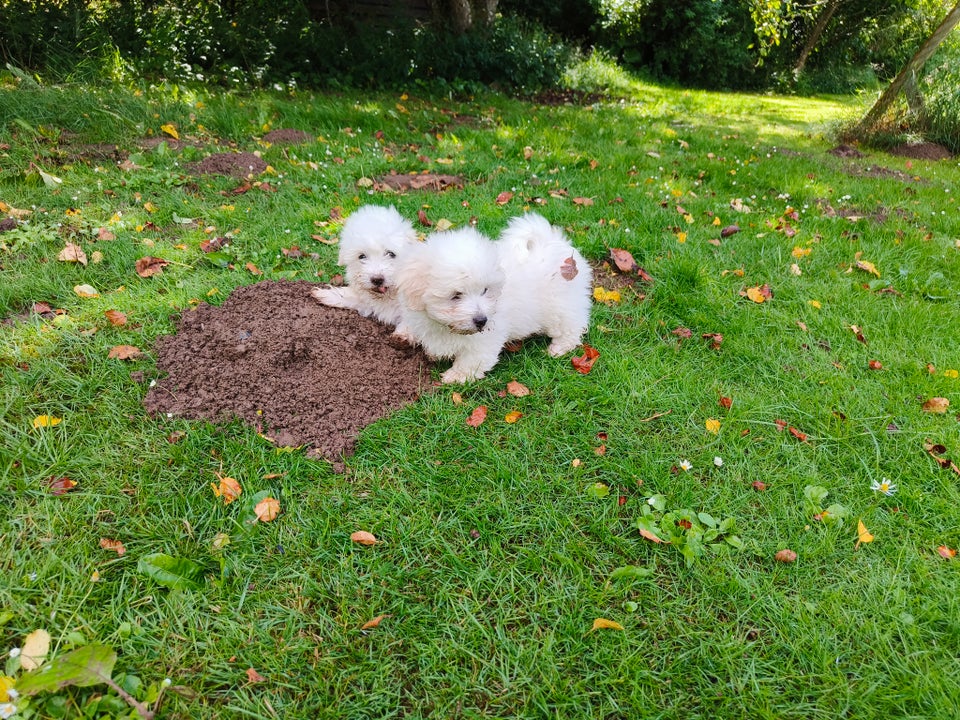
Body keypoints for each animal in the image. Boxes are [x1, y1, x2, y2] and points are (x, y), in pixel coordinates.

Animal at [392, 212, 588, 382]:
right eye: (456, 295)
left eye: (485, 290)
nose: (481, 320)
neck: (446, 327)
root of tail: (551, 241)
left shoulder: (483, 340)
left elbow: (472, 360)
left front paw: (455, 376)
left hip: (561, 306)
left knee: (571, 326)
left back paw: (559, 347)